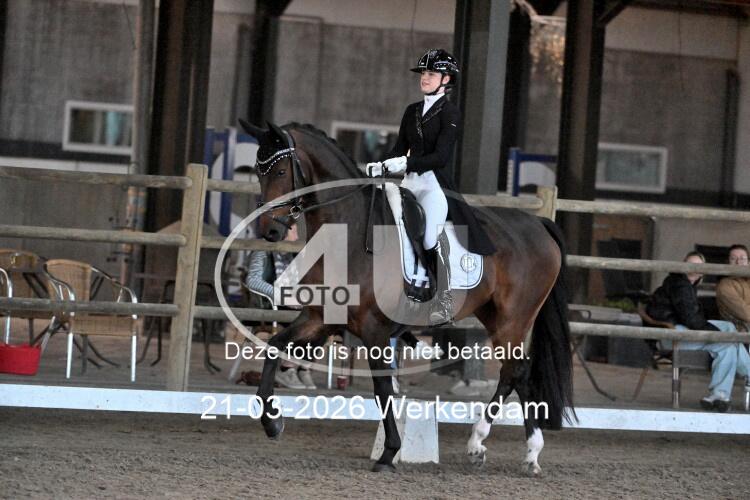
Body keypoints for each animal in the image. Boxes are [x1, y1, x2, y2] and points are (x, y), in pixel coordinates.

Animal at [239, 119, 575, 475]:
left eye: (280, 171)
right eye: (259, 172)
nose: (270, 231)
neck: (349, 234)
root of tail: (538, 223)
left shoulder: (374, 329)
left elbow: (383, 390)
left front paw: (389, 453)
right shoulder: (320, 318)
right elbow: (274, 348)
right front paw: (272, 423)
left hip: (514, 318)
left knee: (516, 371)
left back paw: (508, 447)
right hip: (493, 314)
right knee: (515, 373)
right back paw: (504, 450)